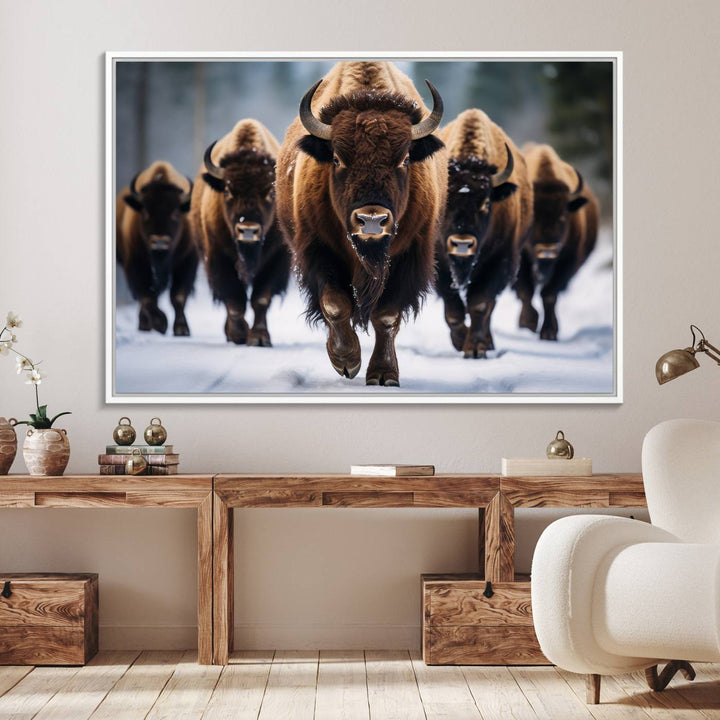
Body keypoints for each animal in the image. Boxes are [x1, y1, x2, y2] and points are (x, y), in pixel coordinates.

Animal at [117, 160, 197, 334]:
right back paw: (145, 325)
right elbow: (147, 296)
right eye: (146, 212)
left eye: (175, 212)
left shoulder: (186, 262)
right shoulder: (136, 264)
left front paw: (181, 329)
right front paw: (161, 323)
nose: (159, 242)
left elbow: (178, 296)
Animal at [194, 119, 292, 344]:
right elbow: (234, 300)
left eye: (271, 192)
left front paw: (259, 338)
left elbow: (261, 299)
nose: (247, 230)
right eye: (227, 190)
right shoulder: (219, 258)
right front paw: (239, 335)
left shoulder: (275, 259)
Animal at [276, 63, 444, 382]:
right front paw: (346, 361)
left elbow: (387, 316)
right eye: (337, 159)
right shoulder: (318, 250)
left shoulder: (408, 256)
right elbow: (335, 304)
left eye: (405, 159)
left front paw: (383, 373)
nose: (372, 220)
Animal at [434, 109, 536, 358]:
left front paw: (476, 348)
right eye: (446, 201)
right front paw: (461, 341)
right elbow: (453, 310)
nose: (462, 244)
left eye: (487, 203)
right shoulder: (440, 265)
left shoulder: (499, 262)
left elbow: (480, 305)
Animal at [516, 144, 600, 344]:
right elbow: (526, 291)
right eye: (533, 217)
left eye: (563, 217)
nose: (547, 251)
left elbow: (549, 295)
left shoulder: (566, 263)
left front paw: (549, 333)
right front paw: (528, 323)